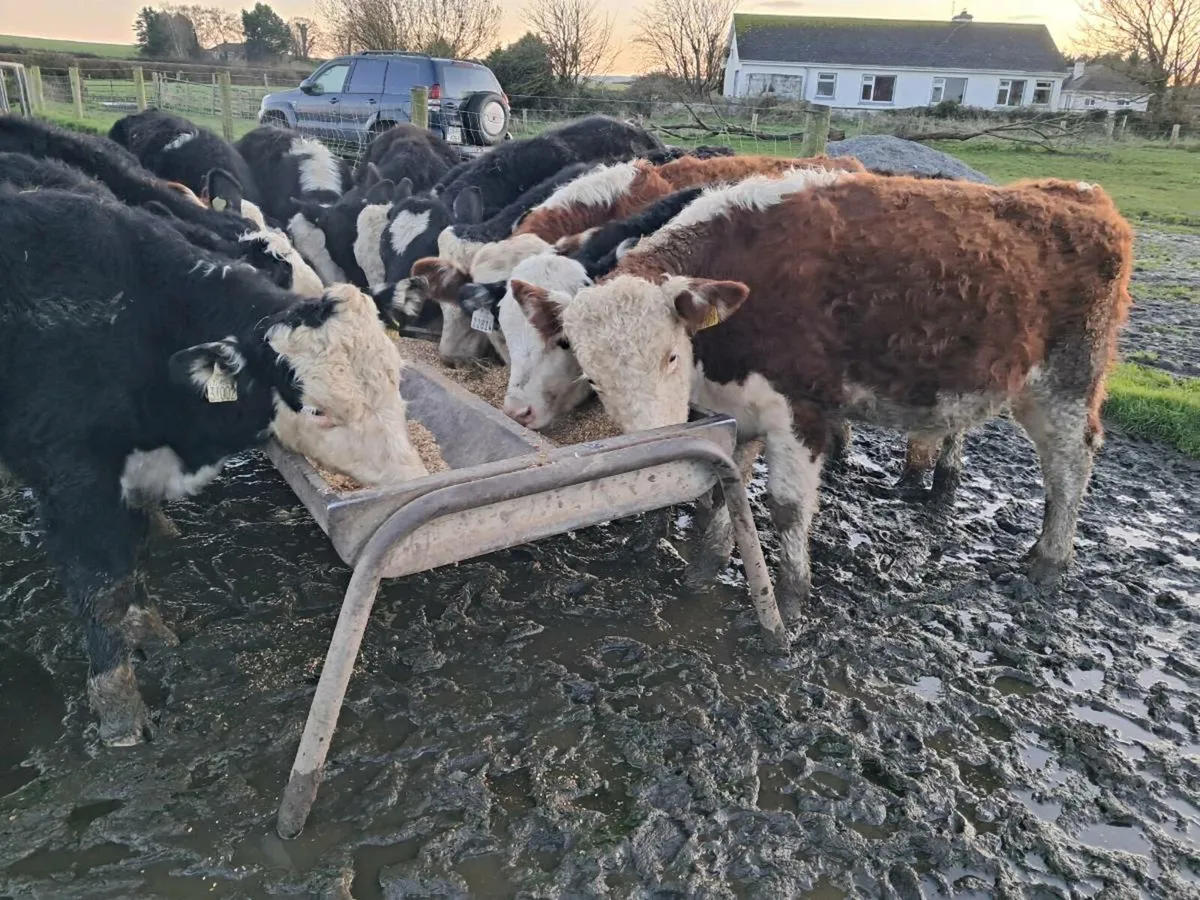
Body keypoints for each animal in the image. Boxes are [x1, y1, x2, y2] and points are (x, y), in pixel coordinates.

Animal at [0, 187, 428, 745]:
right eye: (317, 410)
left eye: (397, 376)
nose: (415, 482)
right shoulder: (76, 478)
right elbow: (102, 586)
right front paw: (120, 713)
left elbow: (131, 561)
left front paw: (149, 632)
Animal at [543, 171, 1134, 619]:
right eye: (593, 378)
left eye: (669, 354)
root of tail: (1077, 194)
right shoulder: (741, 410)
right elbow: (730, 495)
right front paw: (705, 569)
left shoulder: (800, 410)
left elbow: (785, 508)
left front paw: (789, 597)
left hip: (1066, 382)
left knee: (1069, 464)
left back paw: (1051, 559)